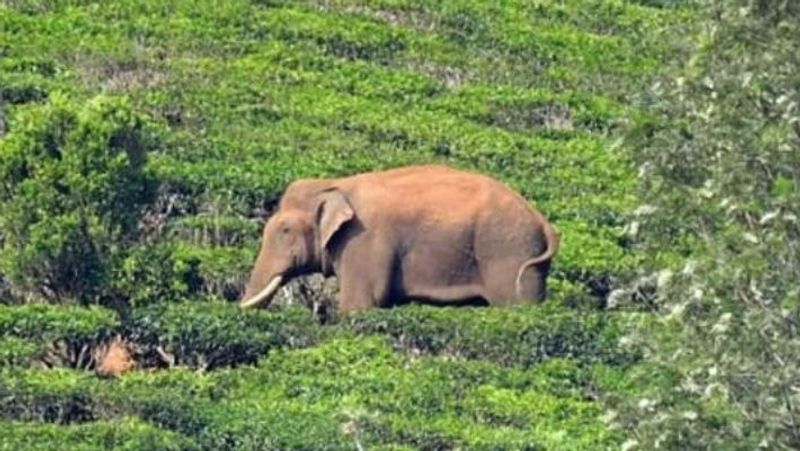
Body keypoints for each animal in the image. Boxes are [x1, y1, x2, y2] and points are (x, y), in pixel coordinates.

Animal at [241, 166, 560, 314]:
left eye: (285, 230)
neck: (335, 183)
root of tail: (543, 222)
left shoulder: (363, 241)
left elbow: (359, 305)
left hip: (508, 253)